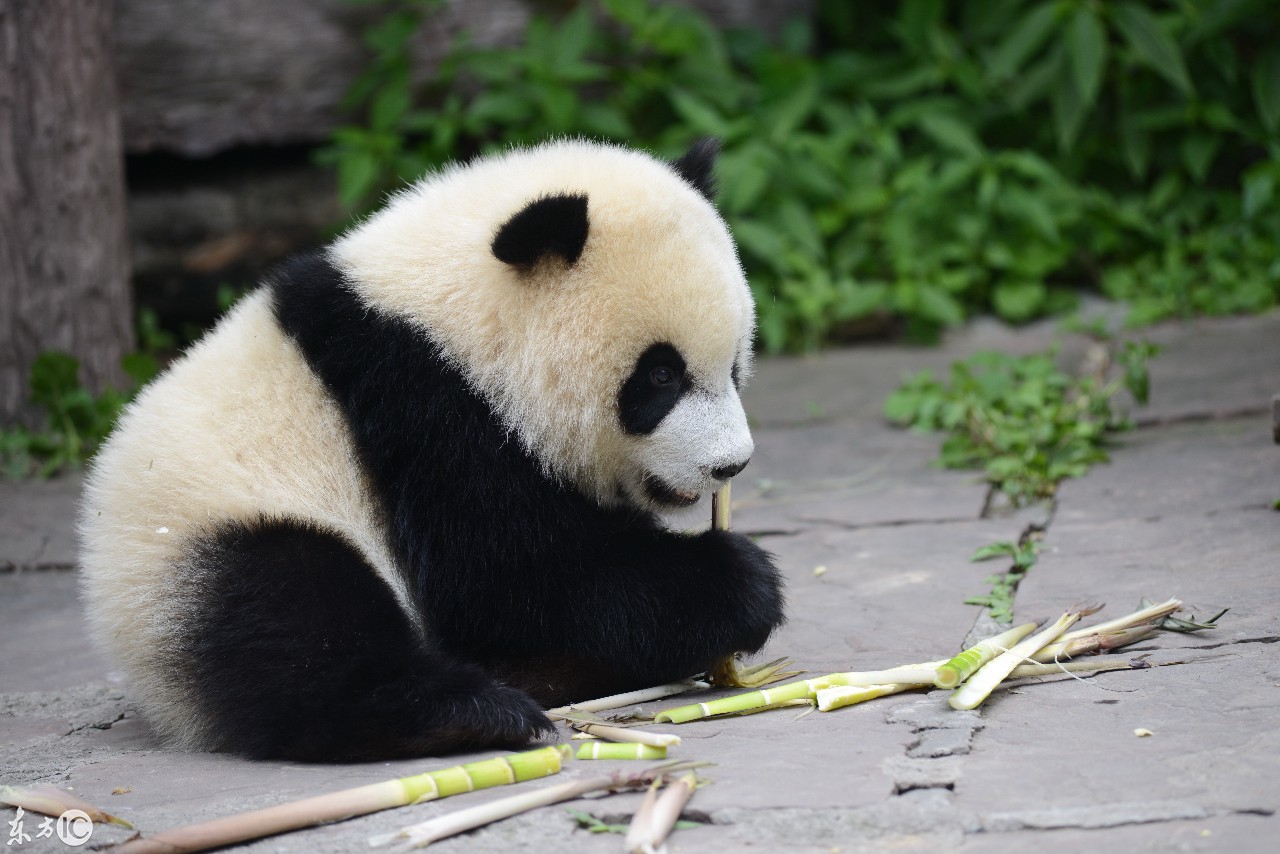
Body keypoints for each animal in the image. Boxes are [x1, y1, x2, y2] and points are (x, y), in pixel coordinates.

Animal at [80, 138, 783, 763]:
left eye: (735, 363)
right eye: (660, 376)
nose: (730, 464)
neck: (455, 318)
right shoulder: (424, 412)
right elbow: (509, 574)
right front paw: (740, 583)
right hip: (209, 527)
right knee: (289, 617)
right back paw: (467, 713)